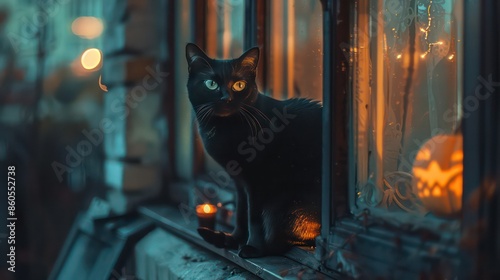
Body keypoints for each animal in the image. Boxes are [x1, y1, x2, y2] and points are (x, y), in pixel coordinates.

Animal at [186, 43, 322, 258]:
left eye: (239, 85)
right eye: (211, 84)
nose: (226, 97)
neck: (225, 129)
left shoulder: (258, 180)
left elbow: (254, 217)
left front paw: (253, 247)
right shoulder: (239, 181)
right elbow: (241, 213)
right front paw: (235, 239)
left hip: (282, 208)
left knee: (284, 239)